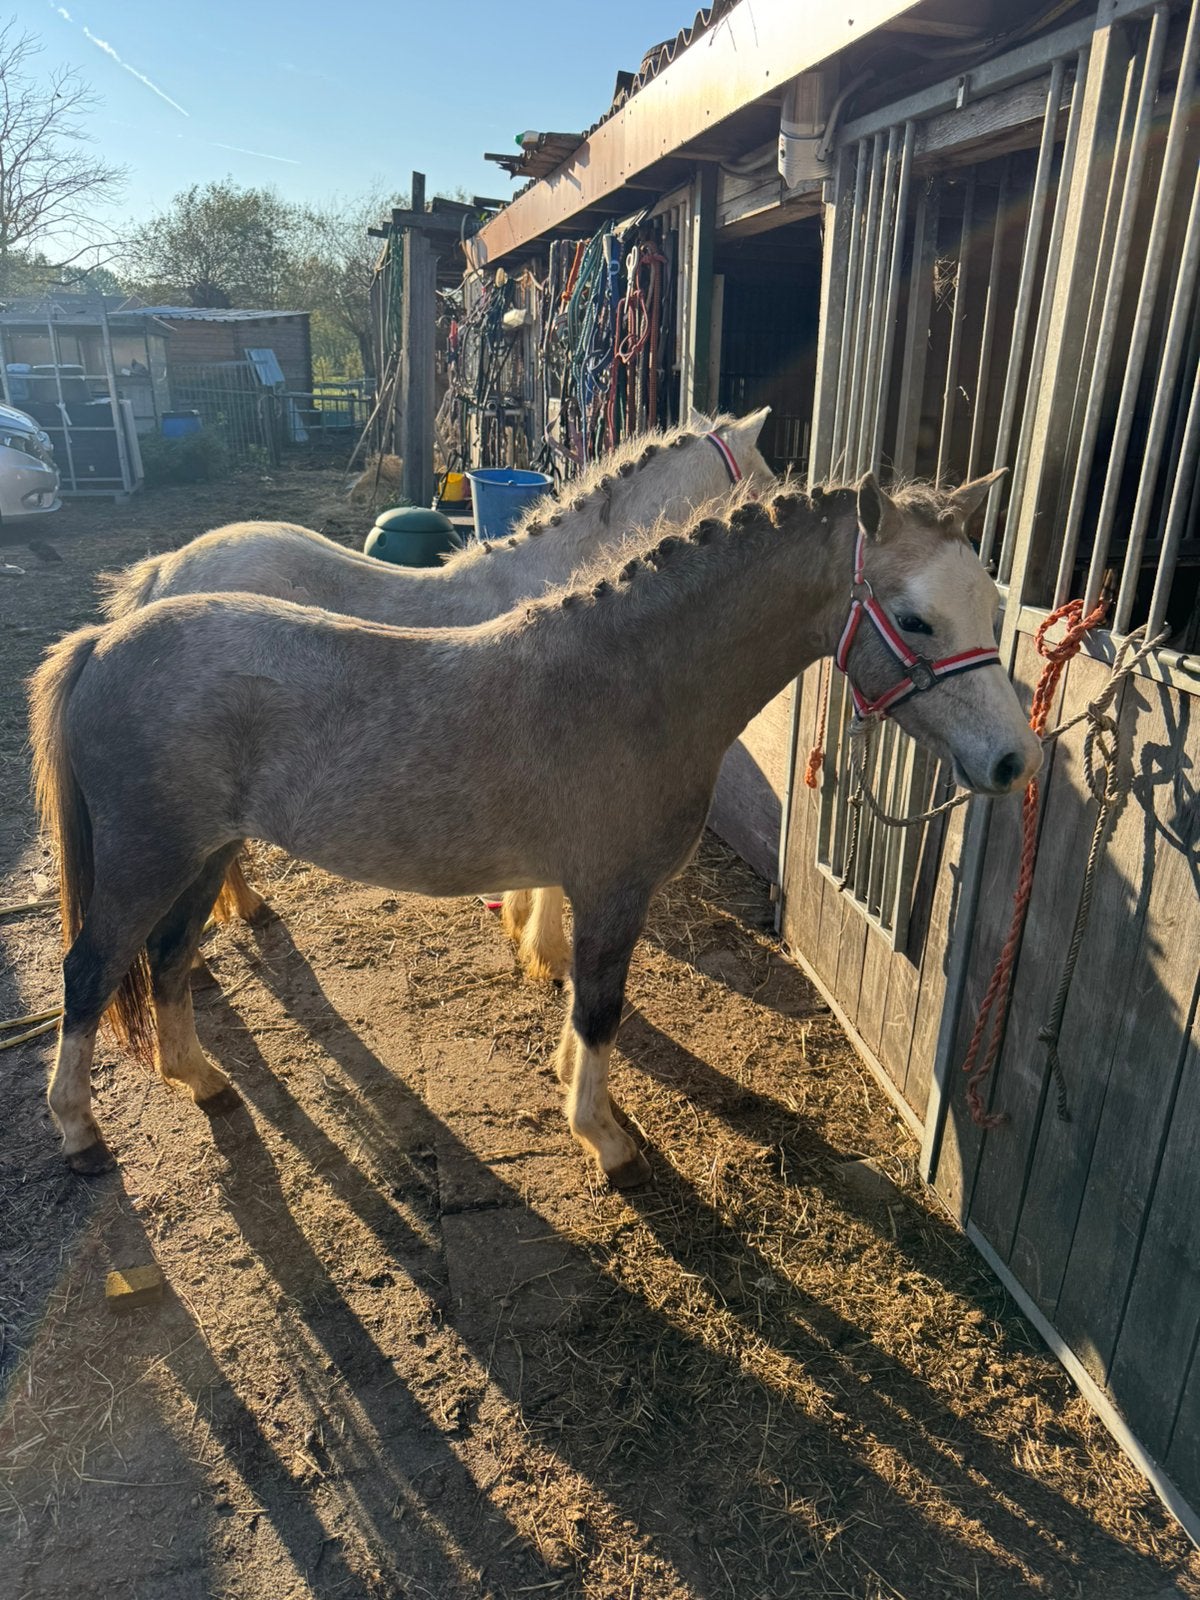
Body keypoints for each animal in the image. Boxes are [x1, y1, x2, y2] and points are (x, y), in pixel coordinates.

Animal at [31, 472, 1041, 1187]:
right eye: (915, 618)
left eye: (992, 607)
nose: (1013, 762)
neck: (628, 681)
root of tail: (105, 639)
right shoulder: (613, 892)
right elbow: (600, 1011)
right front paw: (606, 1141)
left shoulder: (584, 888)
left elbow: (577, 1002)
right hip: (148, 859)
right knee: (92, 970)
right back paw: (79, 1132)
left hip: (202, 856)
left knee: (168, 957)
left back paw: (201, 1081)